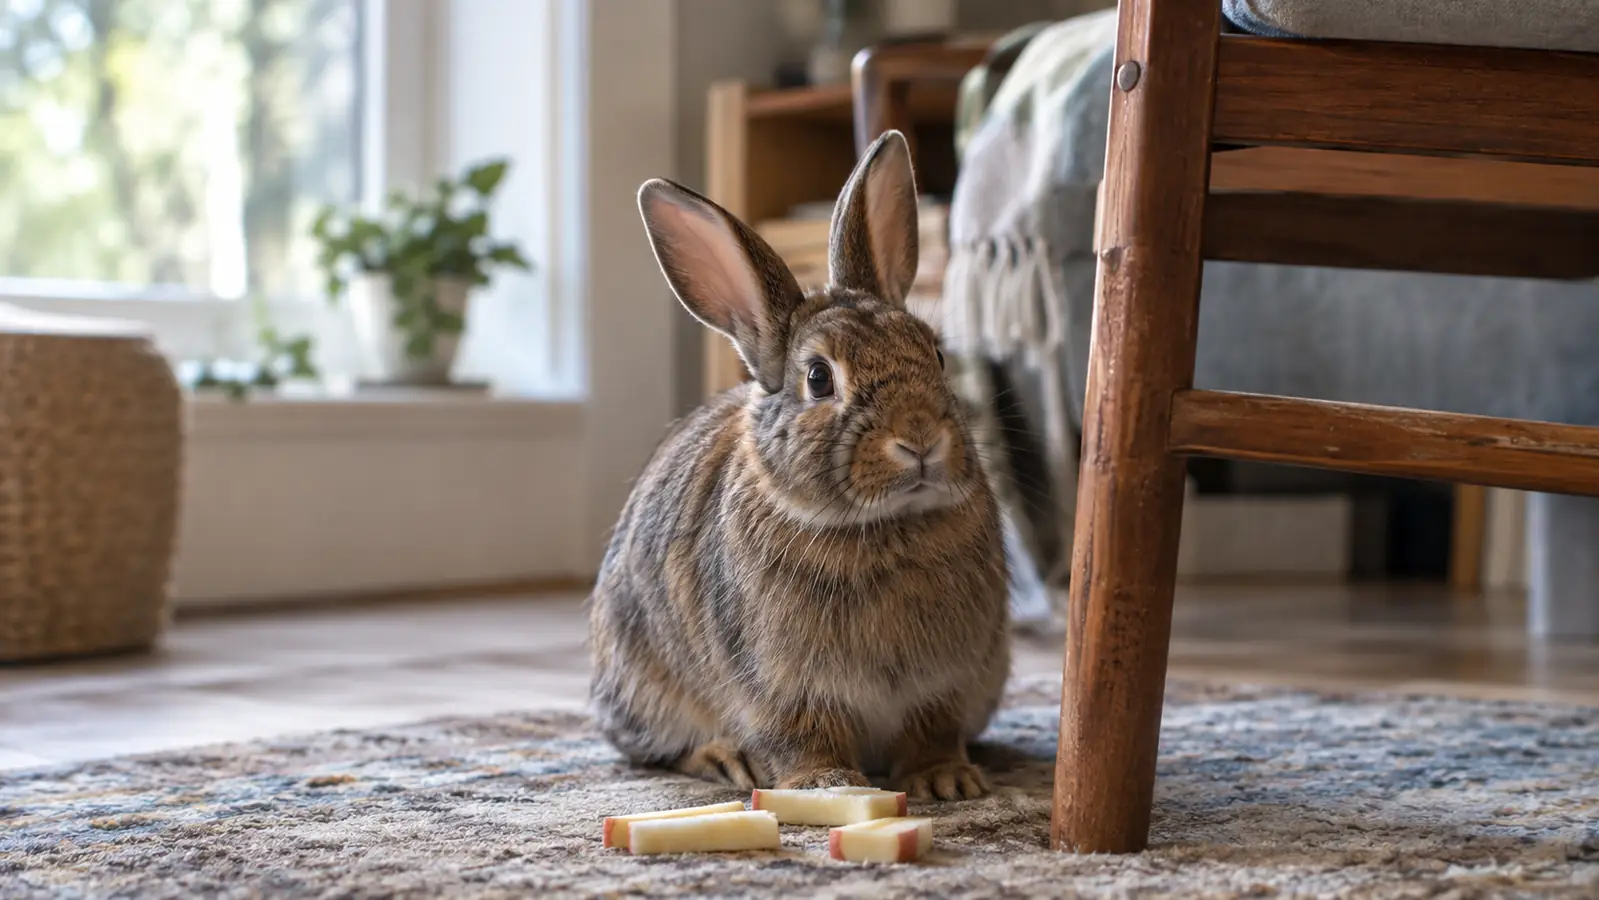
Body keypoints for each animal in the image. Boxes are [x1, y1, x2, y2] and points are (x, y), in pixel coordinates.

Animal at [588, 130, 1009, 801]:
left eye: (937, 355)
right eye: (818, 378)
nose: (920, 438)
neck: (882, 526)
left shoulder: (945, 682)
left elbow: (933, 731)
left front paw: (946, 780)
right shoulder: (783, 687)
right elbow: (802, 735)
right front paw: (828, 784)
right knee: (656, 749)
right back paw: (723, 758)